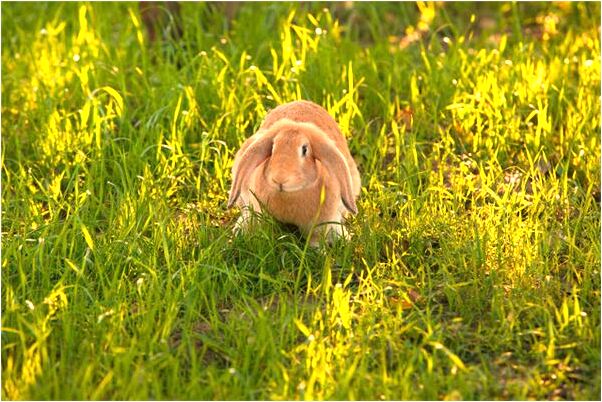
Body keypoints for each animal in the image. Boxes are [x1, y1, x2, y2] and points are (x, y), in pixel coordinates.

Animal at [227, 100, 360, 245]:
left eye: (305, 149)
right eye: (272, 148)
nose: (279, 180)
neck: (289, 195)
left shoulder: (318, 226)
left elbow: (315, 240)